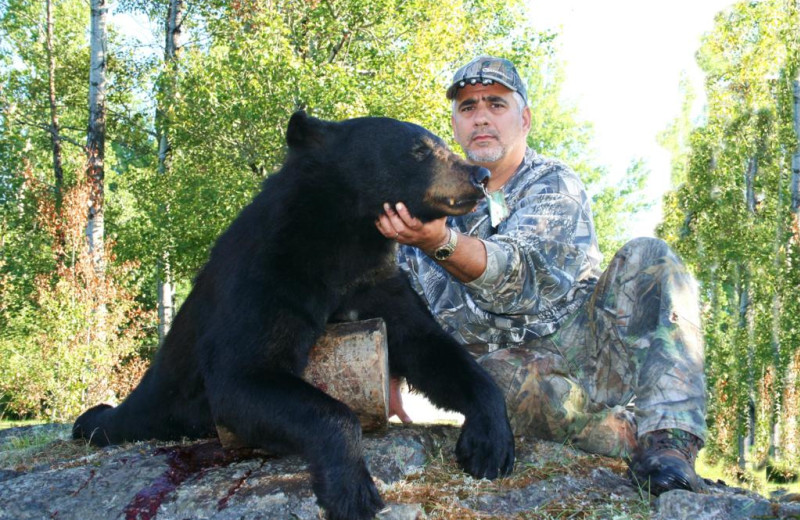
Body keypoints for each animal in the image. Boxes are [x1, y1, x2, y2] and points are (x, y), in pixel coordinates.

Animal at [73, 110, 512, 520]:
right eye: (420, 149)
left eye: (442, 143)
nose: (480, 175)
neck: (345, 236)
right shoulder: (269, 272)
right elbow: (244, 374)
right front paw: (353, 490)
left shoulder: (373, 280)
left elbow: (428, 345)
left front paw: (489, 443)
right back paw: (93, 419)